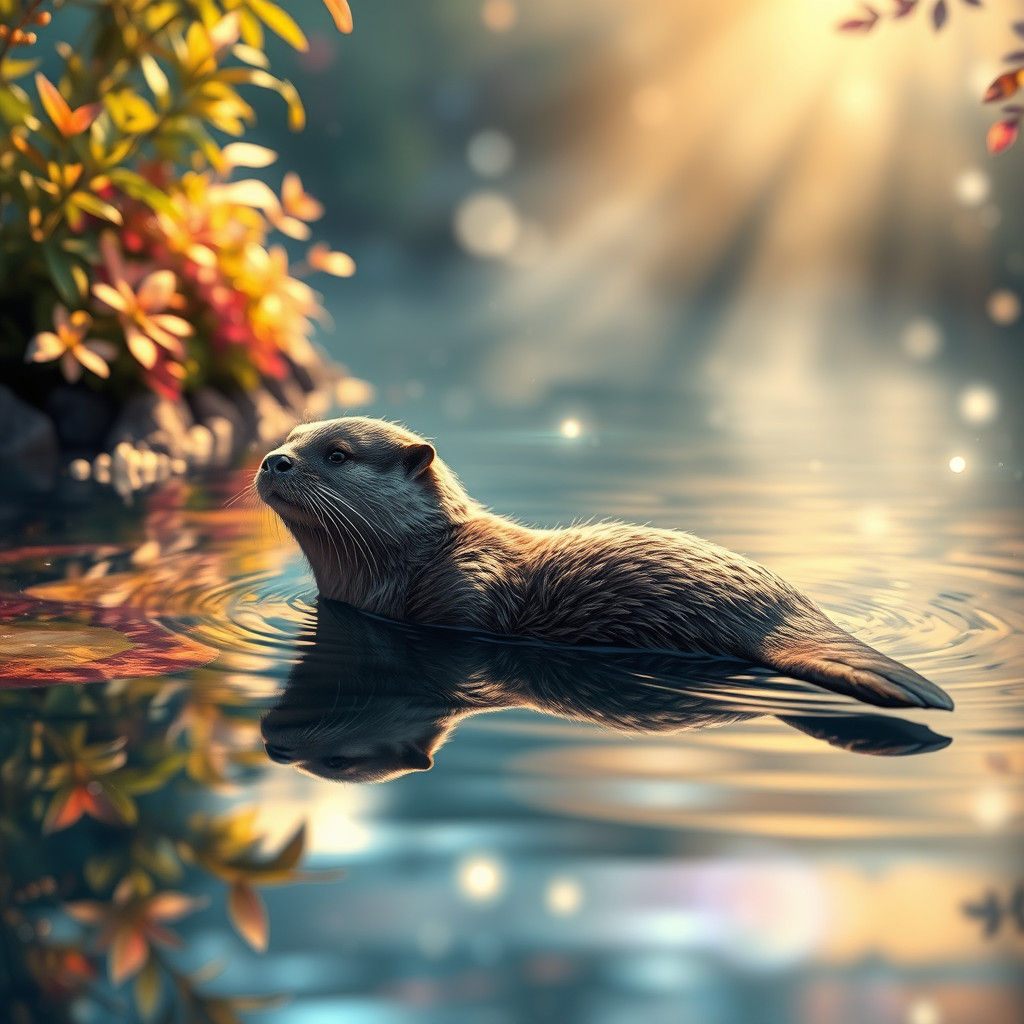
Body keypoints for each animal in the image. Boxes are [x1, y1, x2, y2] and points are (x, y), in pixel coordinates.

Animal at [255, 416, 954, 712]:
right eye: (288, 438)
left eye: (337, 454)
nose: (274, 460)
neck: (425, 556)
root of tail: (785, 613)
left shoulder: (462, 588)